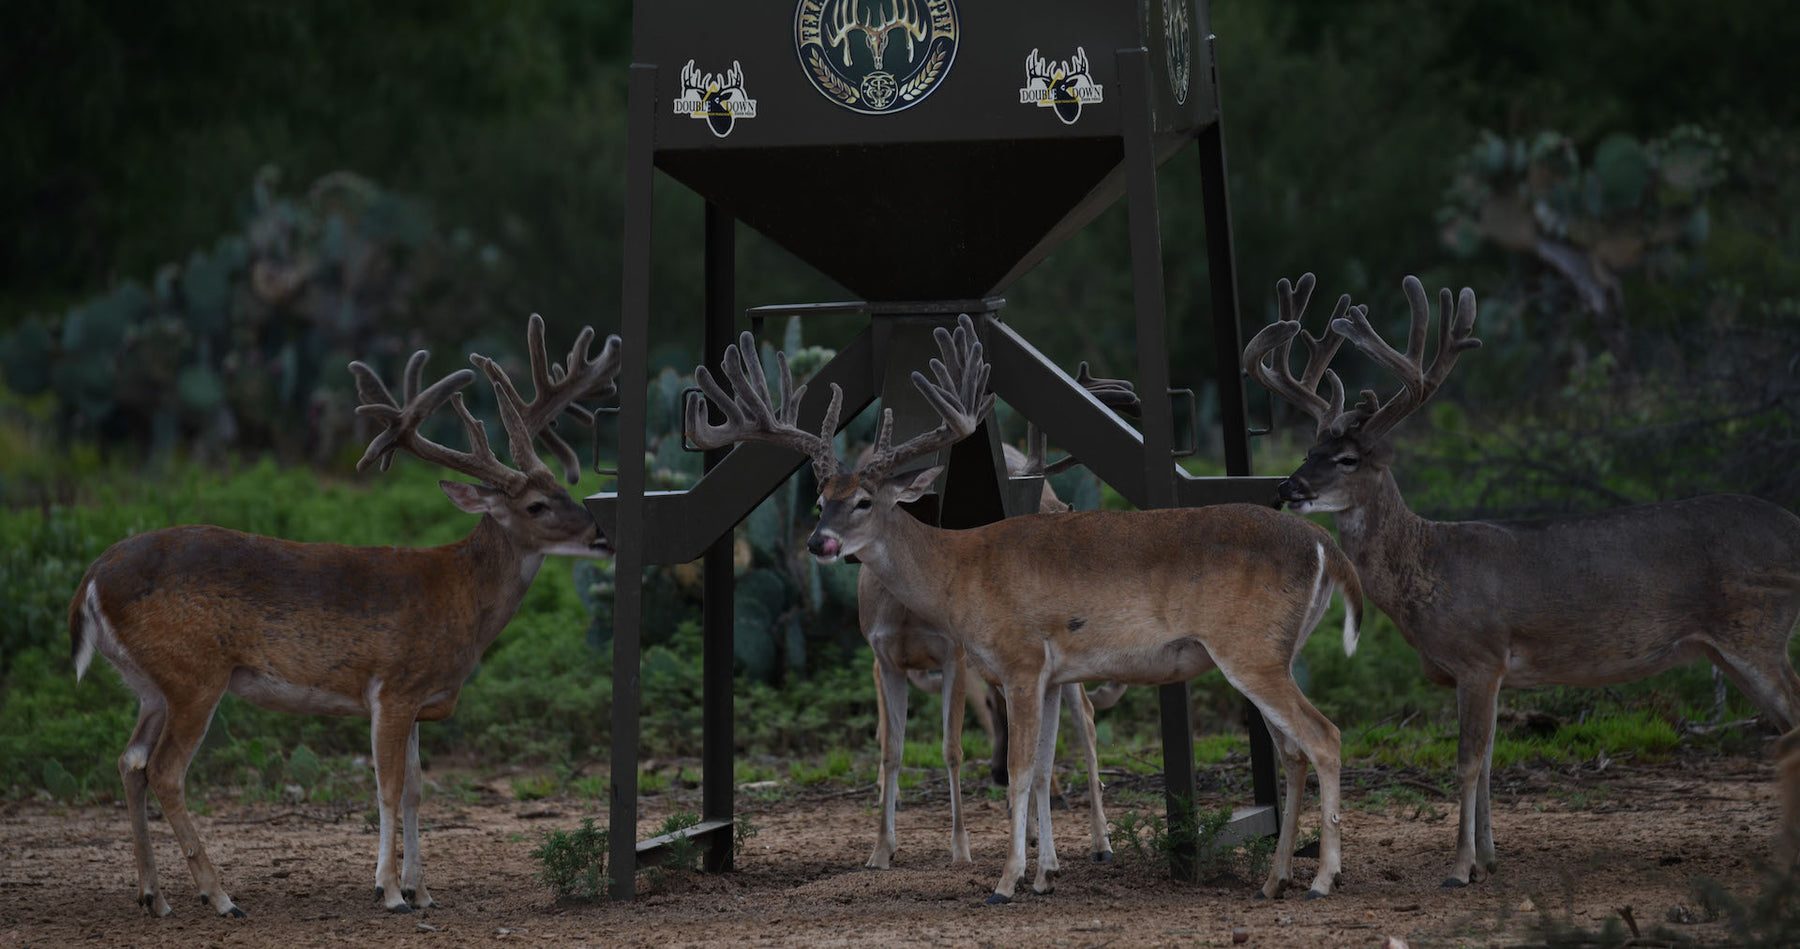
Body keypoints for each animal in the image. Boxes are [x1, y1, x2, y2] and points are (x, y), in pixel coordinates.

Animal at [67, 314, 620, 917]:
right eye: (536, 506)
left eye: (565, 486)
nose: (601, 532)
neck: (461, 598)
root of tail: (90, 580)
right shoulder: (393, 686)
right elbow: (387, 787)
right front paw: (390, 892)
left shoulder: (419, 701)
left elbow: (417, 789)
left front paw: (423, 890)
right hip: (194, 674)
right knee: (165, 770)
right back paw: (220, 897)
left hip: (151, 683)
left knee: (130, 761)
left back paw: (154, 896)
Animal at [687, 314, 1365, 903]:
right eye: (821, 495)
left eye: (864, 501)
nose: (818, 543)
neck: (959, 573)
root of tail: (1325, 544)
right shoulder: (1050, 672)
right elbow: (1038, 770)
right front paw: (1042, 875)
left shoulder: (1018, 660)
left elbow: (1015, 771)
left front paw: (1006, 881)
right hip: (1271, 652)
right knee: (1294, 751)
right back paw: (1274, 879)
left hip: (1249, 649)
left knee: (1326, 737)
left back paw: (1321, 879)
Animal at [1243, 272, 1800, 887]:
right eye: (1310, 447)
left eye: (1346, 458)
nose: (1287, 487)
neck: (1430, 566)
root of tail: (1794, 525)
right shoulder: (1487, 673)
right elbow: (1488, 764)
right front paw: (1488, 858)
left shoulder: (1480, 657)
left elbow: (1467, 763)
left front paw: (1460, 868)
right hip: (1733, 647)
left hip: (1756, 630)